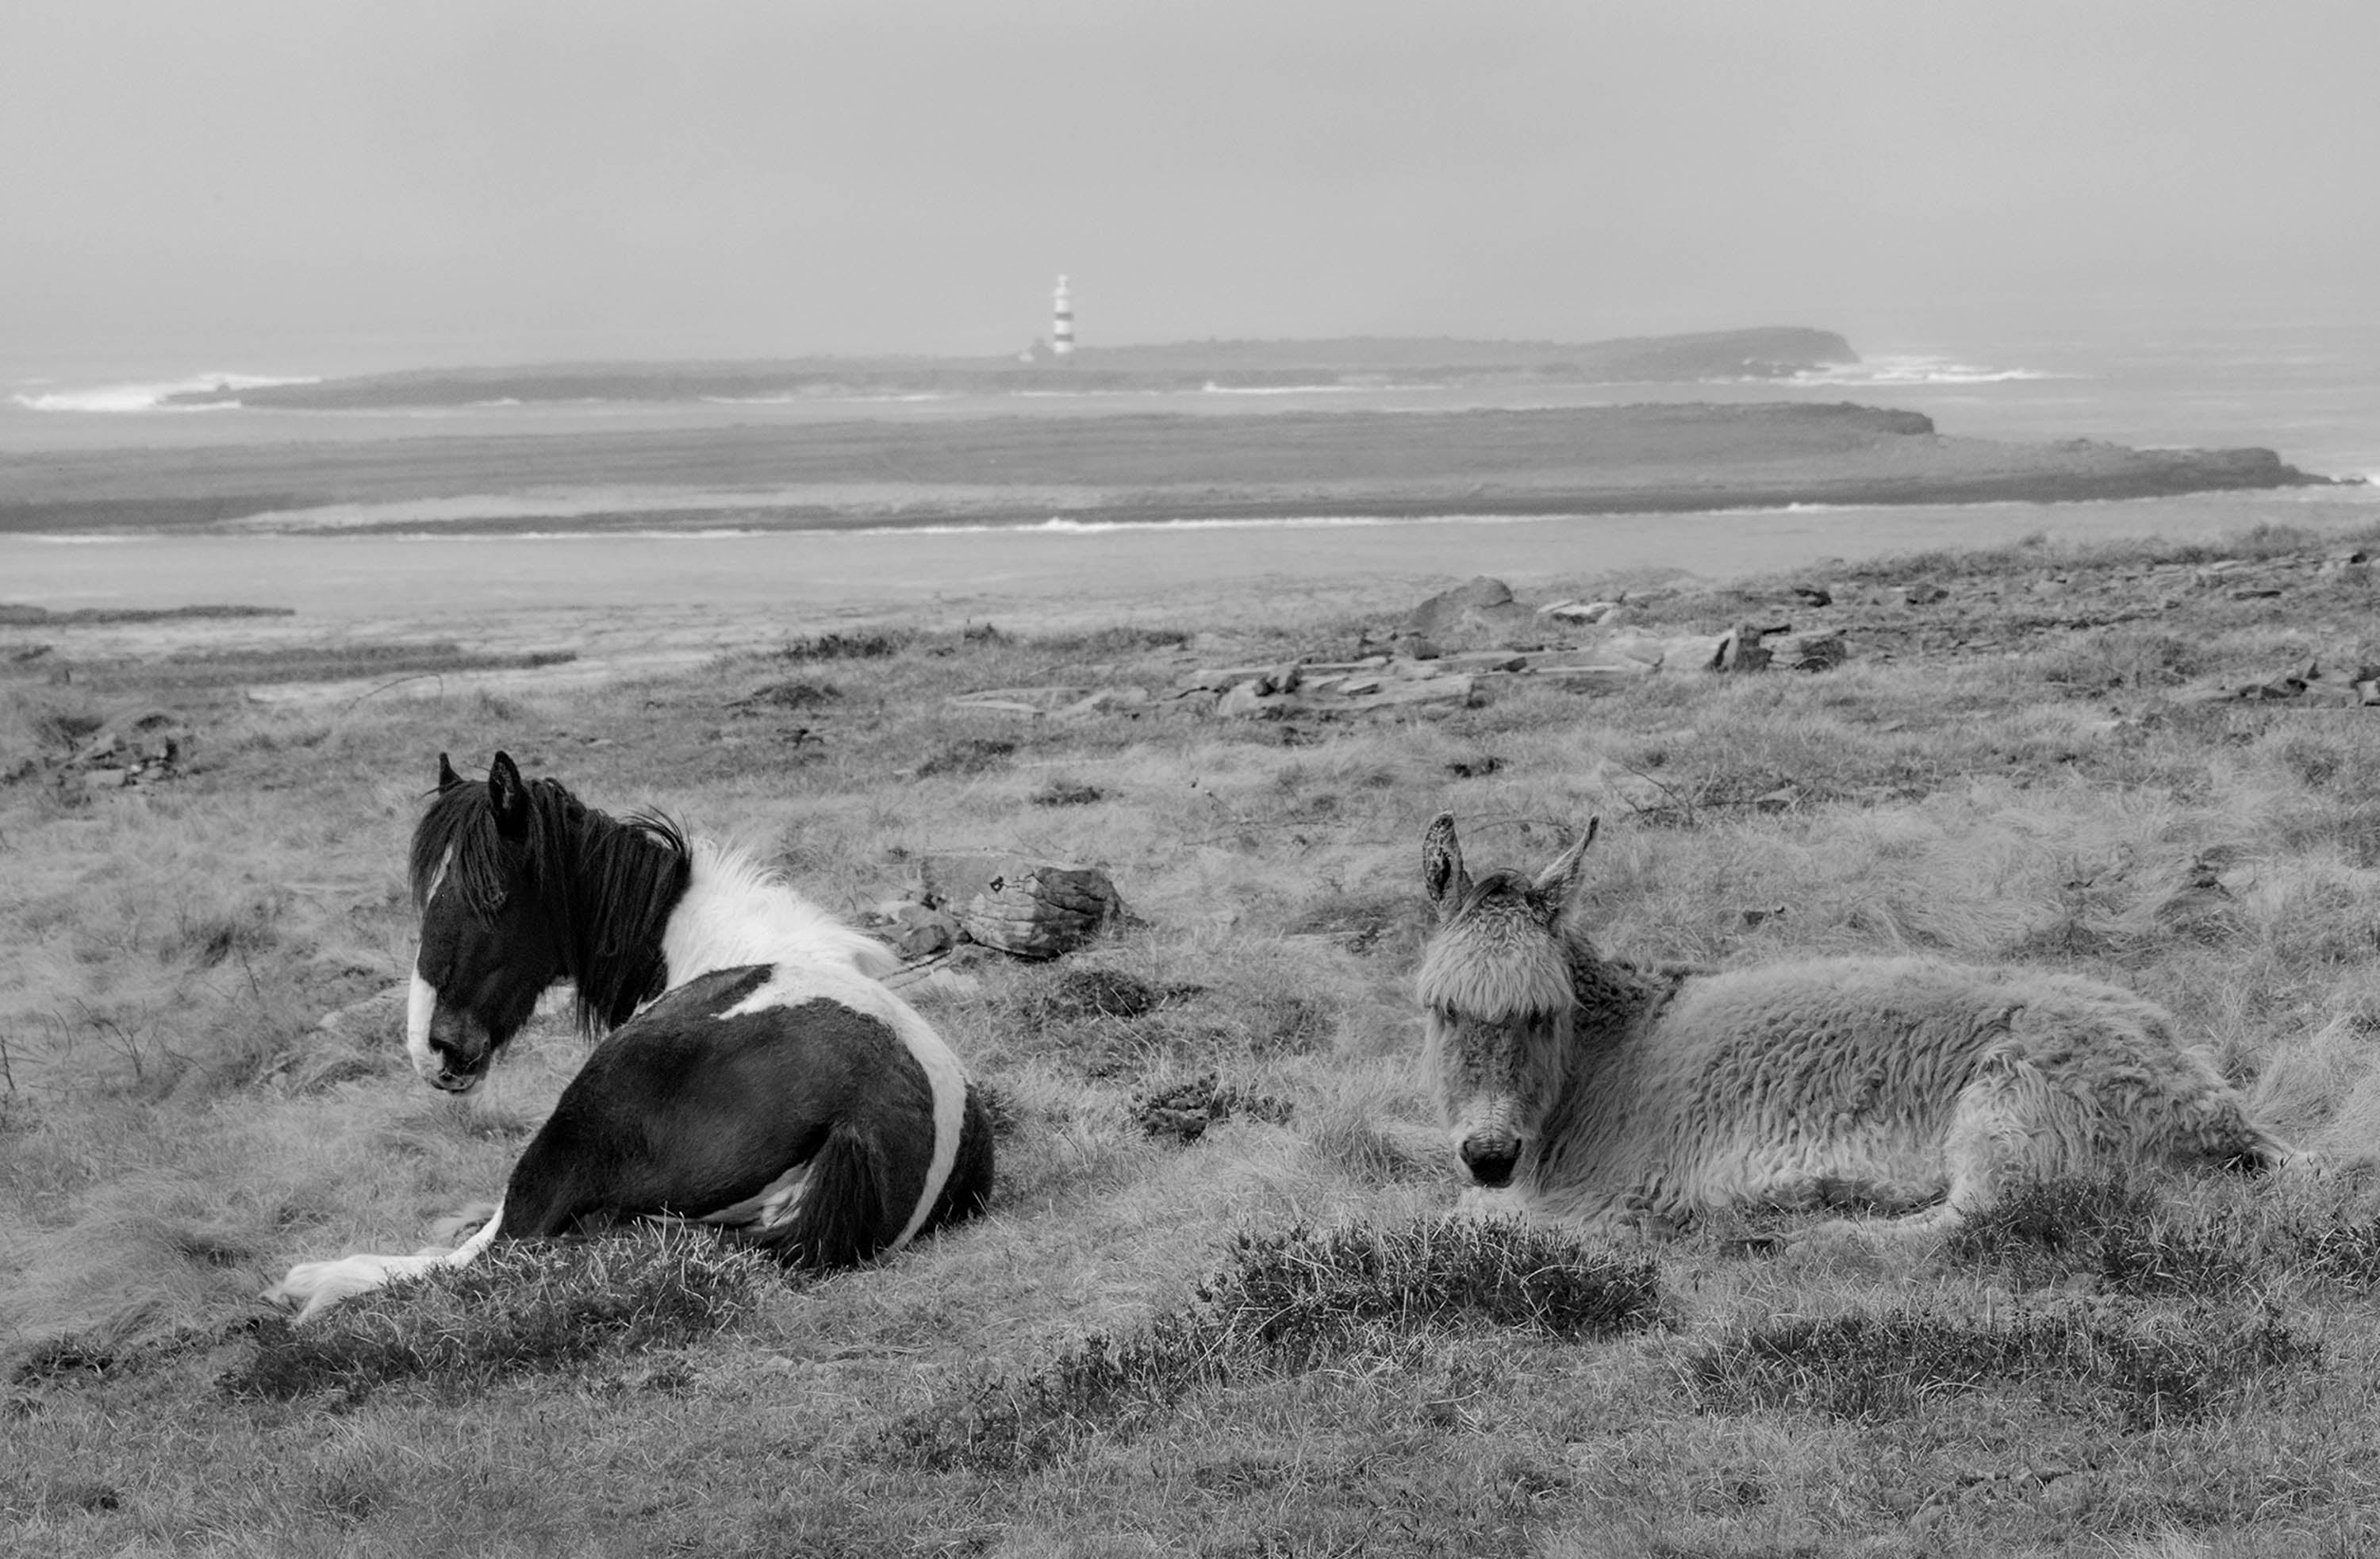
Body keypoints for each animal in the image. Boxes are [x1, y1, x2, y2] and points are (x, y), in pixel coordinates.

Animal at [268, 752, 993, 1320]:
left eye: (493, 894)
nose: (436, 1049)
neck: (701, 939)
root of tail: (862, 1118)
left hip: (576, 1122)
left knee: (494, 1248)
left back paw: (319, 1280)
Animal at [1415, 812, 2295, 1241]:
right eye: (1441, 1008)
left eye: (1543, 1012)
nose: (1490, 1155)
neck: (1617, 1047)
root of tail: (2218, 1111)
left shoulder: (1598, 1202)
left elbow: (1465, 1219)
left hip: (2012, 1105)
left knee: (1970, 1218)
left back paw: (1806, 1231)